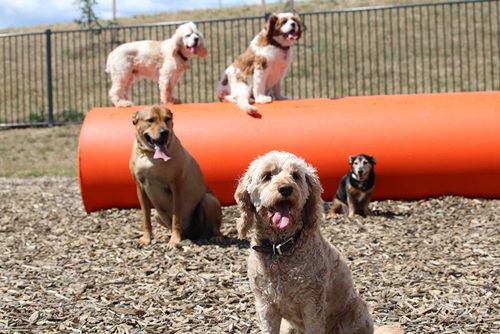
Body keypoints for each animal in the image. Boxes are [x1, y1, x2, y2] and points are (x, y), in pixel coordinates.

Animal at [129, 104, 223, 248]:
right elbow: (146, 217)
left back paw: (216, 236)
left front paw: (174, 240)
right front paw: (146, 239)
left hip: (208, 201)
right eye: (150, 120)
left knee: (215, 227)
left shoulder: (176, 185)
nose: (165, 132)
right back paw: (165, 235)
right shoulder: (140, 187)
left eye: (167, 119)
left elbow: (176, 217)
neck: (151, 155)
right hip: (157, 213)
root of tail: (192, 233)